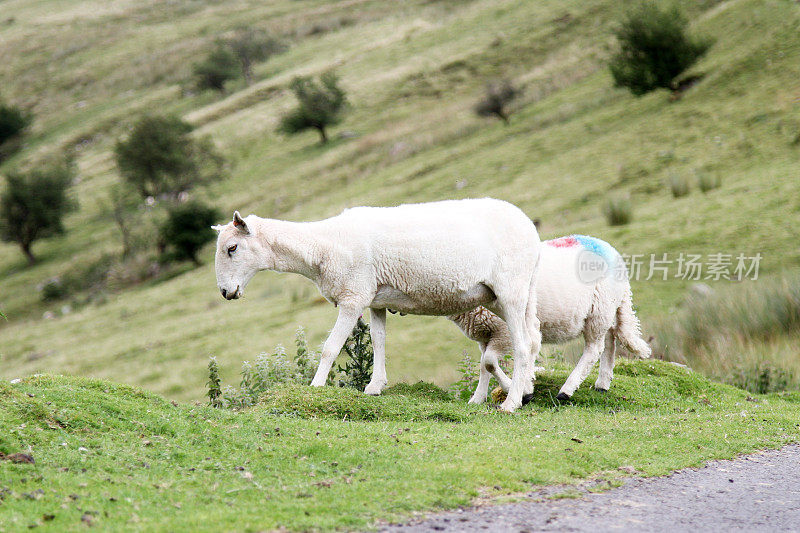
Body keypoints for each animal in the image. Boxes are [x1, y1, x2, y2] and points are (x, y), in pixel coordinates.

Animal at [211, 197, 544, 410]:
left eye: (232, 248)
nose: (226, 292)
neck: (322, 246)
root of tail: (528, 225)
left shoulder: (353, 296)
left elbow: (330, 347)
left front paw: (315, 387)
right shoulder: (375, 299)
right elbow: (378, 340)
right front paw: (375, 386)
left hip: (510, 289)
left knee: (523, 344)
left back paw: (511, 403)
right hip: (506, 294)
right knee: (533, 337)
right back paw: (525, 390)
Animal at [450, 234, 648, 404]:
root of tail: (611, 250)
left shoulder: (503, 331)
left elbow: (489, 362)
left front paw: (517, 389)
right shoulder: (485, 334)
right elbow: (484, 366)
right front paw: (477, 399)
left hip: (600, 309)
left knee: (594, 348)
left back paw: (566, 390)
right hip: (603, 310)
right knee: (609, 340)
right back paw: (602, 384)